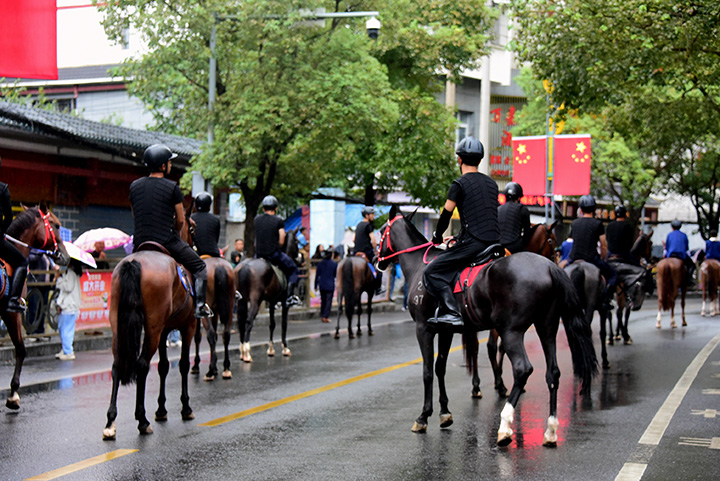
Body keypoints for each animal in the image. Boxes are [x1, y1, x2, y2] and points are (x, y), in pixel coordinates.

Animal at [100, 226, 198, 438]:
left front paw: (161, 409)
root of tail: (134, 262)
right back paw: (142, 420)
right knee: (142, 365)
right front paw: (185, 408)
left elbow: (163, 366)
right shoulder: (188, 326)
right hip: (153, 327)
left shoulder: (164, 330)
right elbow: (183, 364)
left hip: (120, 327)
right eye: (193, 228)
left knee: (117, 365)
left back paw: (110, 422)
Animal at [233, 228, 296, 360]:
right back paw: (247, 351)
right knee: (249, 320)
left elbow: (272, 324)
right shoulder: (284, 303)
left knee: (241, 321)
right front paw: (285, 348)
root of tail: (245, 266)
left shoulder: (271, 302)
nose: (299, 255)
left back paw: (242, 350)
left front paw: (271, 349)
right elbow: (284, 324)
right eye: (297, 241)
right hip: (255, 300)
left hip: (241, 300)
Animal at [376, 208, 596, 448]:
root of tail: (549, 268)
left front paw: (424, 417)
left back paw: (505, 426)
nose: (377, 260)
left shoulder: (423, 328)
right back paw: (550, 431)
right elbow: (440, 368)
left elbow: (427, 371)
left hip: (511, 331)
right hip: (546, 327)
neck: (419, 265)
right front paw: (444, 413)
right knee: (553, 372)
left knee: (522, 369)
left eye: (381, 230)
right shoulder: (445, 330)